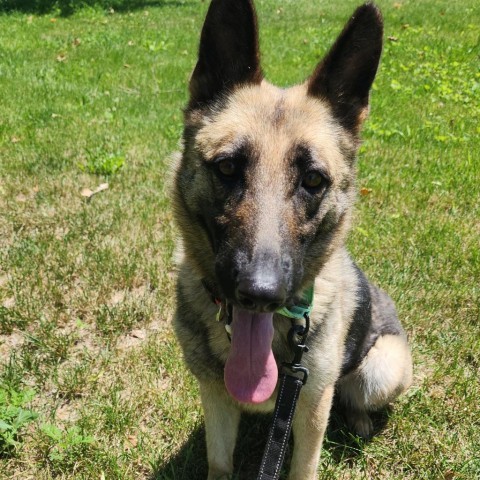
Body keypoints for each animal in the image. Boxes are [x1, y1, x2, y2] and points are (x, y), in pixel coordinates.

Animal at [172, 1, 412, 478]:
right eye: (227, 167)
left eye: (313, 180)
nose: (261, 294)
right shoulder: (216, 400)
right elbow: (219, 462)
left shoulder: (311, 407)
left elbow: (304, 464)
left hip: (383, 367)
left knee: (355, 394)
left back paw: (358, 420)